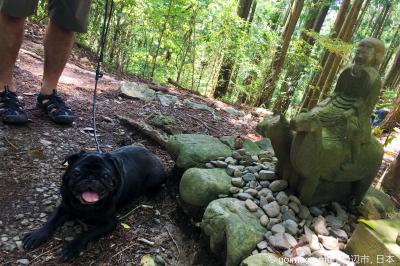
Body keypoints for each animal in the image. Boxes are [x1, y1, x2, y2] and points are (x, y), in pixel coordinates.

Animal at [22, 145, 166, 260]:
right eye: (76, 173)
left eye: (106, 176)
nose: (90, 179)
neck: (83, 206)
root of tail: (152, 154)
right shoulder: (64, 207)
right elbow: (51, 221)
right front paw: (37, 235)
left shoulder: (108, 223)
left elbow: (86, 234)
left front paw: (72, 247)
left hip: (154, 177)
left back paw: (156, 194)